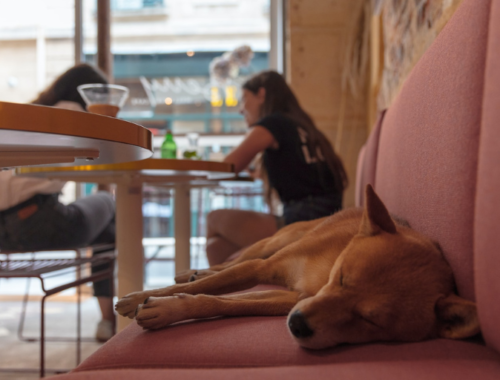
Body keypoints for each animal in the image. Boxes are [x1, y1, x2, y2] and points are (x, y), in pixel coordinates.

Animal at [115, 186, 478, 348]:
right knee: (232, 261)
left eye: (371, 321)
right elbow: (198, 288)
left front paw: (168, 308)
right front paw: (141, 297)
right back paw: (193, 271)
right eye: (342, 278)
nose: (298, 324)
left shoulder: (291, 299)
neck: (324, 273)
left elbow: (215, 301)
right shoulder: (262, 270)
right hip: (271, 245)